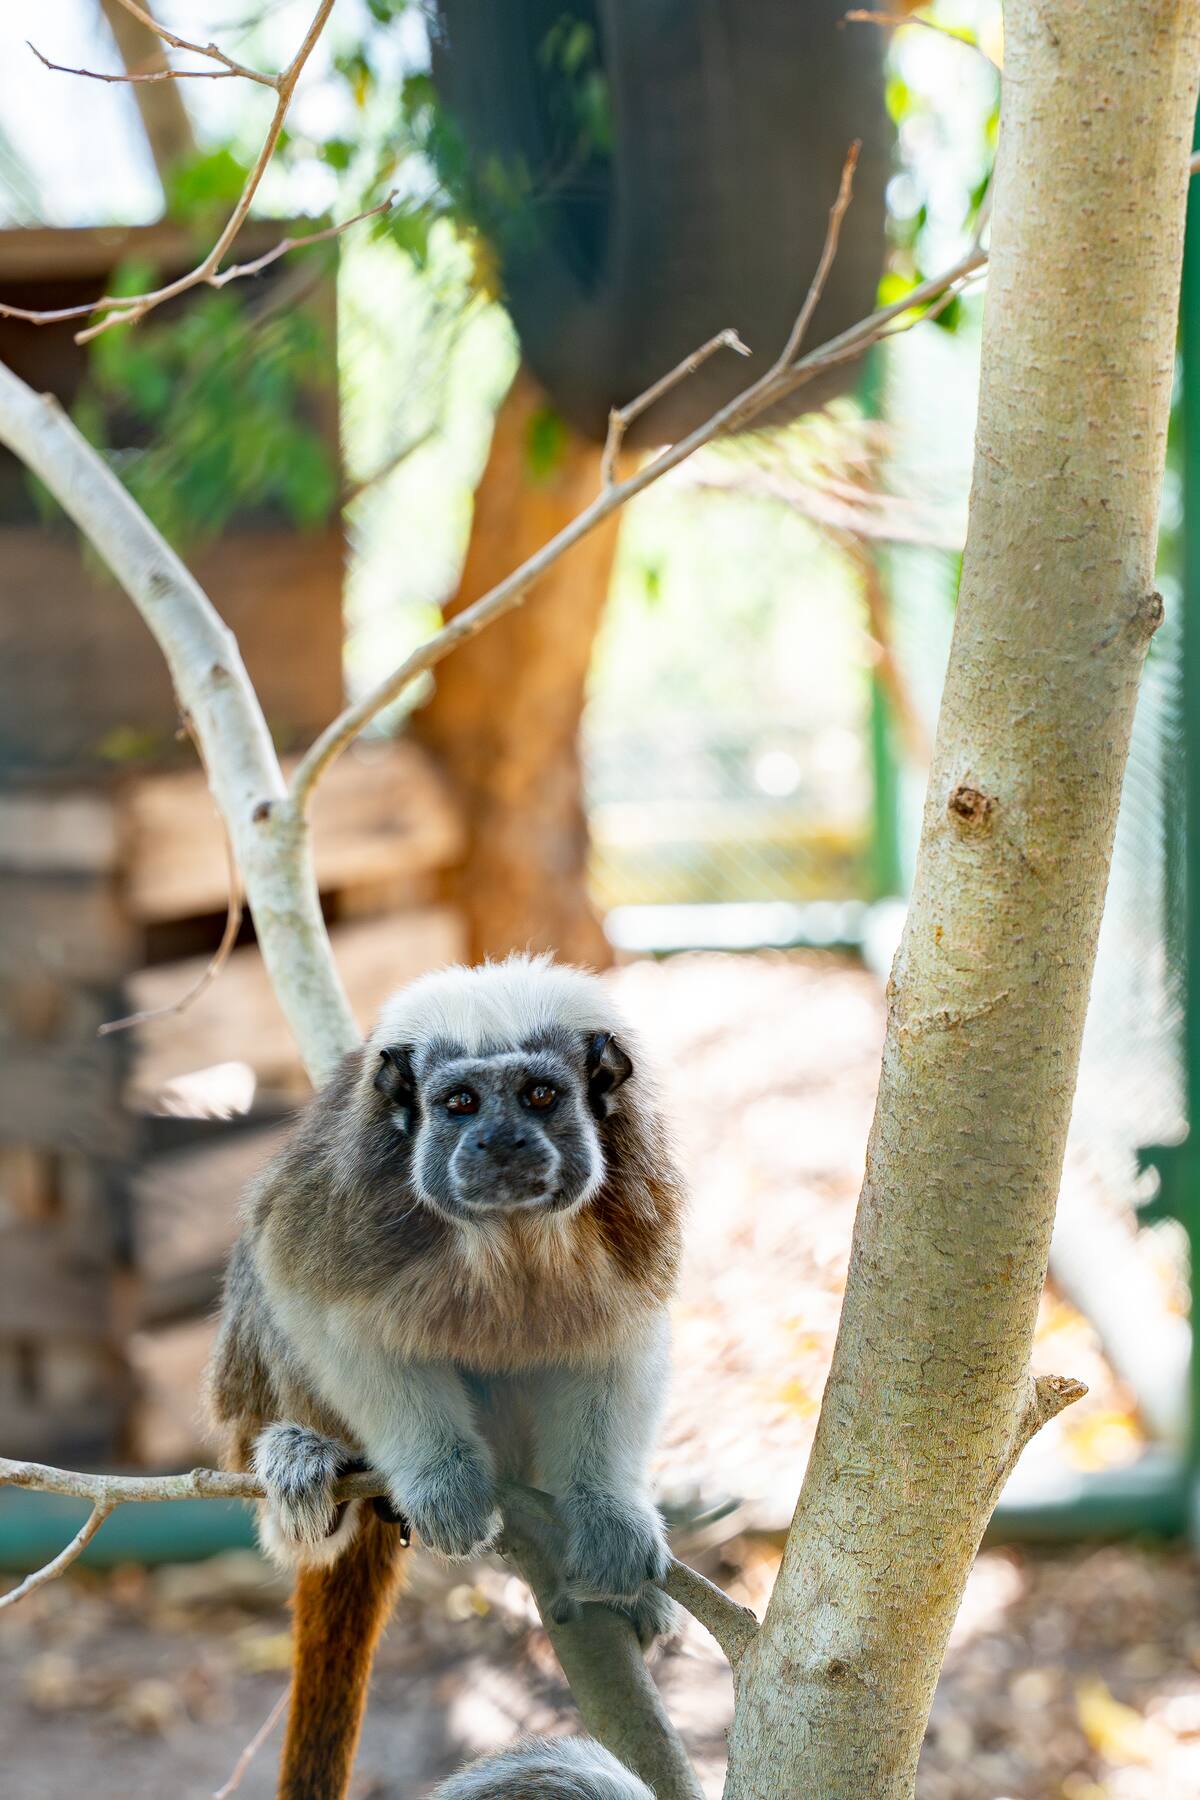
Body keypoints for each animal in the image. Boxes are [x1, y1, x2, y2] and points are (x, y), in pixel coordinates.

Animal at [206, 953, 685, 1799]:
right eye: (460, 1105)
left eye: (539, 1096)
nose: (499, 1141)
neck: (508, 1230)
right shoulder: (348, 1193)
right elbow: (312, 1298)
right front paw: (441, 1479)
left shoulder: (636, 1191)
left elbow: (619, 1338)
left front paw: (606, 1509)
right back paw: (312, 1477)